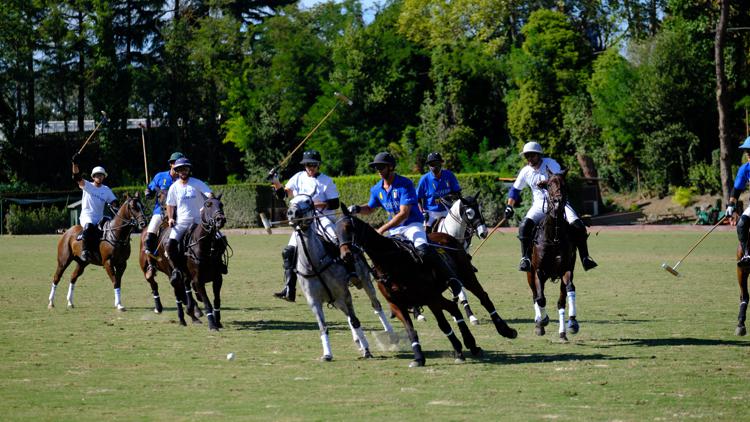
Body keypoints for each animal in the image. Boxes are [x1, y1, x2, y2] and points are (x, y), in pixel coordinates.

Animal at [138, 190, 206, 328]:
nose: (165, 209)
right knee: (153, 282)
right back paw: (158, 307)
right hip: (145, 266)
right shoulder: (173, 271)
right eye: (158, 195)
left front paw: (195, 309)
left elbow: (189, 286)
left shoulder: (184, 269)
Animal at [290, 196, 378, 362]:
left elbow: (355, 321)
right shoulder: (314, 301)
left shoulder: (344, 293)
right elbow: (323, 327)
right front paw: (327, 354)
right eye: (291, 200)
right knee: (348, 316)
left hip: (364, 281)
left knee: (376, 306)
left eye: (307, 201)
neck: (314, 264)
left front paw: (367, 350)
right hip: (337, 301)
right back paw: (357, 341)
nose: (292, 213)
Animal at [528, 169, 580, 342]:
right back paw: (539, 323)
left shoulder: (566, 269)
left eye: (564, 184)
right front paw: (542, 321)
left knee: (561, 301)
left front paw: (572, 323)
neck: (554, 237)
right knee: (535, 295)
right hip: (530, 273)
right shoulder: (538, 271)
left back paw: (563, 332)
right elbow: (540, 298)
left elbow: (568, 292)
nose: (558, 202)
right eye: (549, 184)